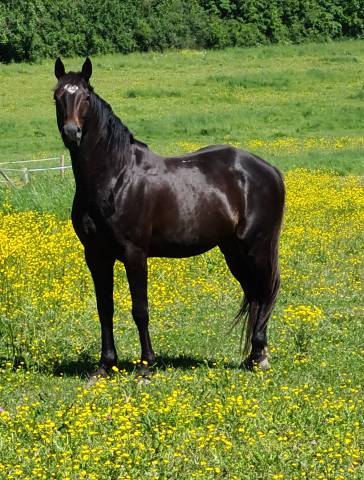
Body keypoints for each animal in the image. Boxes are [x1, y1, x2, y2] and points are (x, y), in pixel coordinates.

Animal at [53, 58, 284, 376]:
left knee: (265, 290)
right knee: (254, 293)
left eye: (85, 96)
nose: (71, 133)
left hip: (256, 246)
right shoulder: (96, 255)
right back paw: (253, 357)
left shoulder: (134, 254)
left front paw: (147, 366)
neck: (115, 177)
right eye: (57, 96)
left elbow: (140, 310)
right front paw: (105, 365)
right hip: (233, 249)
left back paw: (260, 357)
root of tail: (270, 170)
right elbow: (104, 308)